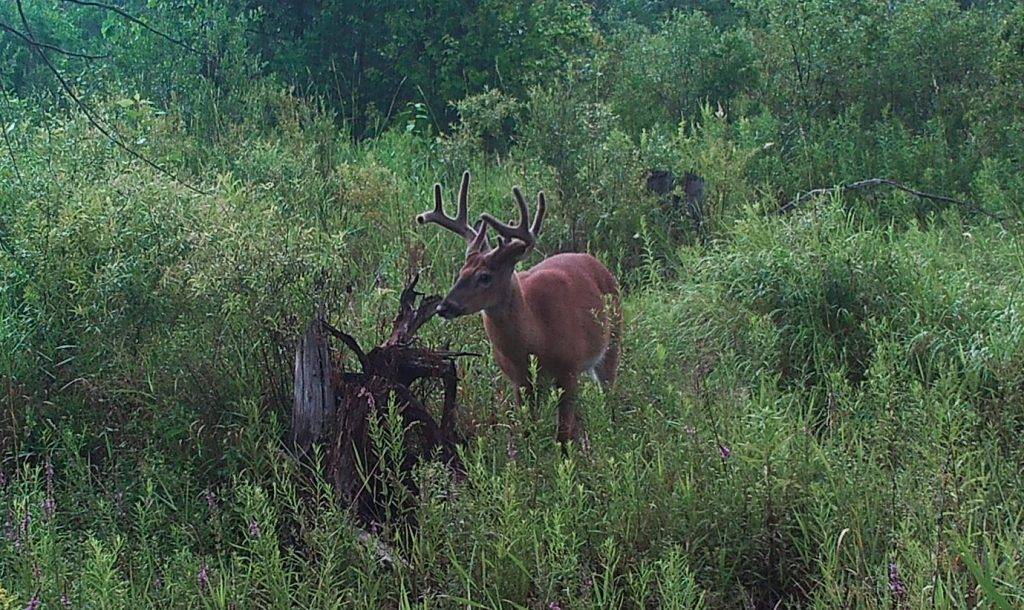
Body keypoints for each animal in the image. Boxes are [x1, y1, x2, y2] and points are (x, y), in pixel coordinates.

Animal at [417, 171, 622, 448]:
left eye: (485, 276)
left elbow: (562, 435)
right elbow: (527, 429)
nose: (443, 306)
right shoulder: (520, 380)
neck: (538, 336)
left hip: (613, 343)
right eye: (461, 271)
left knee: (609, 396)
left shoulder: (568, 370)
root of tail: (597, 263)